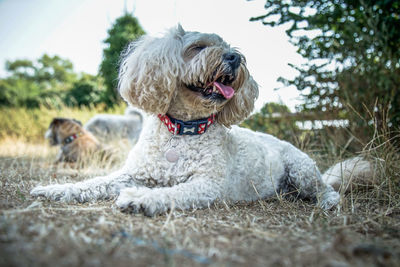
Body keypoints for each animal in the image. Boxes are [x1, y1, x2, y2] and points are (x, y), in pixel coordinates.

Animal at [31, 26, 368, 217]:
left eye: (231, 48)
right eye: (198, 47)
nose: (235, 57)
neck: (183, 130)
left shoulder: (207, 185)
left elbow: (171, 193)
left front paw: (140, 199)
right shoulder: (133, 174)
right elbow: (94, 183)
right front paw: (55, 189)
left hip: (302, 171)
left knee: (328, 190)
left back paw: (328, 203)